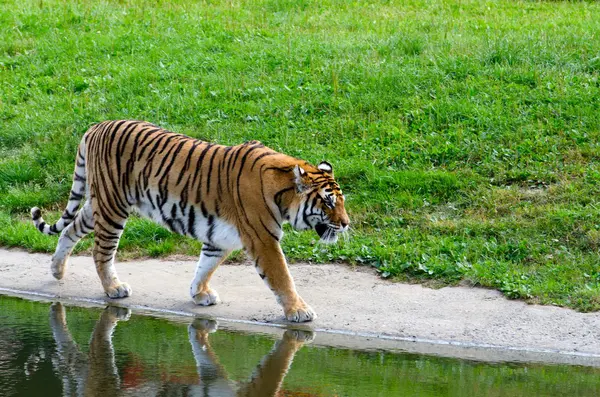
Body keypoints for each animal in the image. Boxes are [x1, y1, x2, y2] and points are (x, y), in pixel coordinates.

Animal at [32, 118, 350, 322]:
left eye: (341, 199)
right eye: (328, 201)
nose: (347, 223)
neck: (282, 192)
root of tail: (96, 126)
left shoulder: (220, 238)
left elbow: (205, 266)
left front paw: (199, 294)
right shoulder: (263, 240)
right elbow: (282, 277)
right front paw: (300, 311)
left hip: (99, 203)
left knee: (69, 230)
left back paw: (57, 270)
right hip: (112, 207)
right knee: (101, 251)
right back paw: (113, 289)